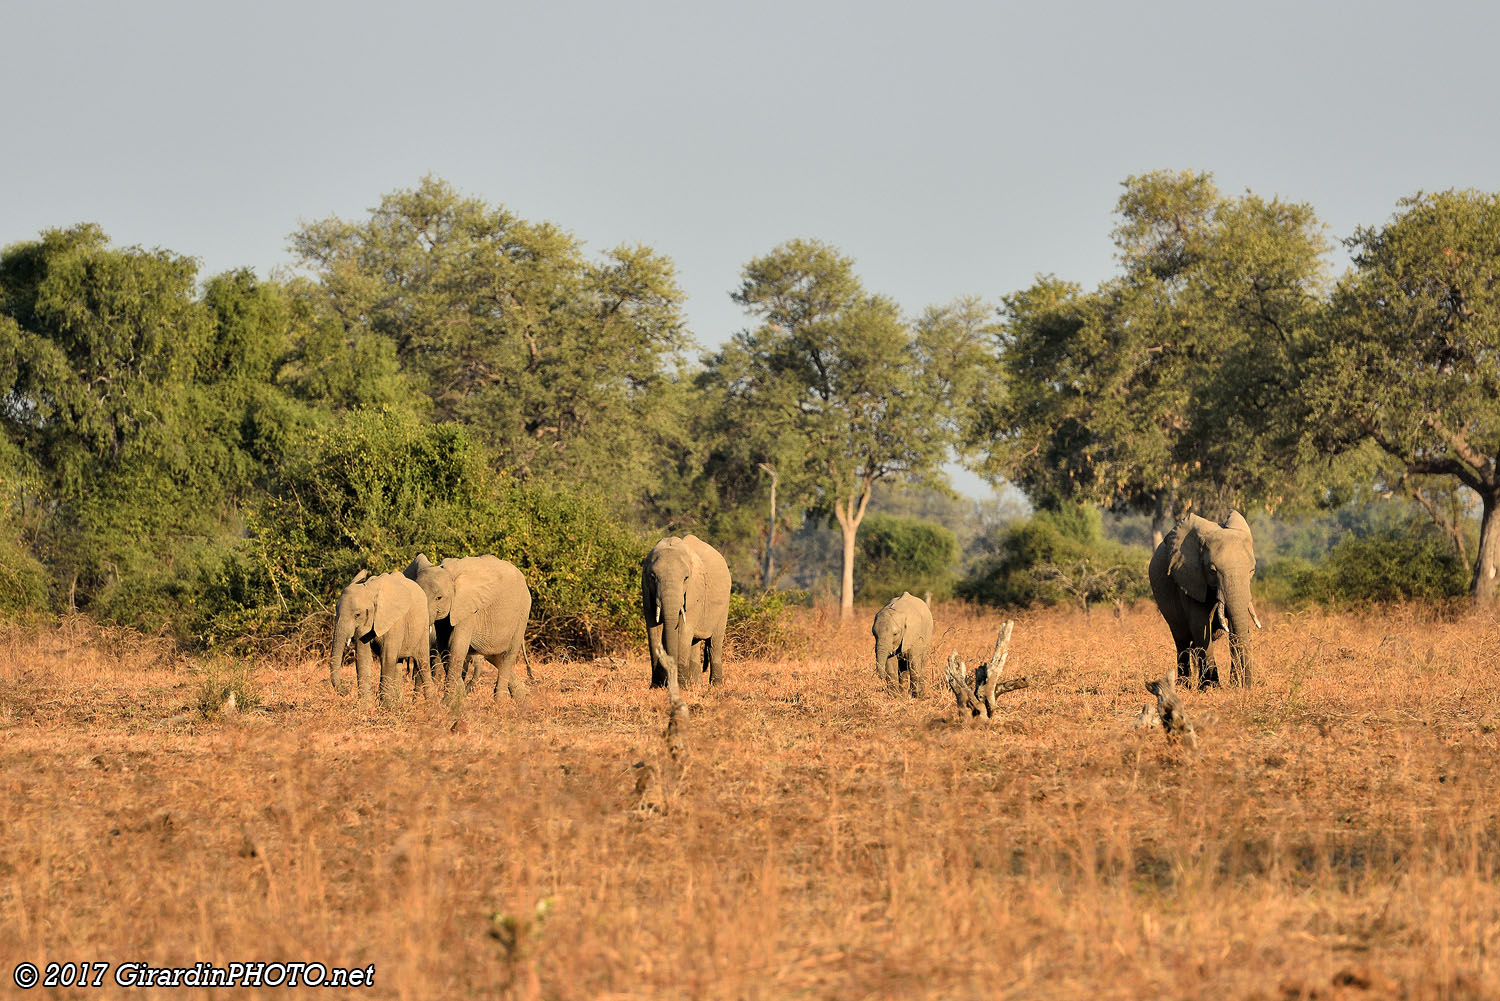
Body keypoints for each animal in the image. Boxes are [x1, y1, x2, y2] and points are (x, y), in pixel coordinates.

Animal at [324, 570, 429, 705]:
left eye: (357, 615)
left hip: (424, 624)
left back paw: (431, 703)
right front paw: (365, 706)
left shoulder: (395, 621)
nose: (346, 691)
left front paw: (385, 707)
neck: (370, 590)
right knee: (398, 663)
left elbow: (387, 658)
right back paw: (398, 705)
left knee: (423, 662)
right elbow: (363, 657)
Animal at [405, 552, 534, 702]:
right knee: (495, 657)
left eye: (439, 598)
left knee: (508, 656)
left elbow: (457, 646)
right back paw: (522, 699)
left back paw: (500, 701)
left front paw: (447, 703)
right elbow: (445, 648)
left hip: (521, 615)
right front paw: (458, 698)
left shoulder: (468, 608)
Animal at [642, 537, 729, 702]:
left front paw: (681, 686)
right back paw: (695, 684)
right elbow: (654, 631)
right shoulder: (646, 592)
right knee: (694, 643)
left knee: (714, 642)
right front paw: (655, 687)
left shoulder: (695, 591)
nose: (668, 683)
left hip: (724, 606)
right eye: (653, 577)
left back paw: (715, 686)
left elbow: (683, 632)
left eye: (686, 578)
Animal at [1146, 510, 1266, 690]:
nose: (1248, 687)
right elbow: (1200, 626)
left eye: (1252, 571)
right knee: (1181, 639)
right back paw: (1185, 686)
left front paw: (1233, 686)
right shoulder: (1189, 578)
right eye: (1212, 570)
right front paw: (1212, 688)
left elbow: (1233, 629)